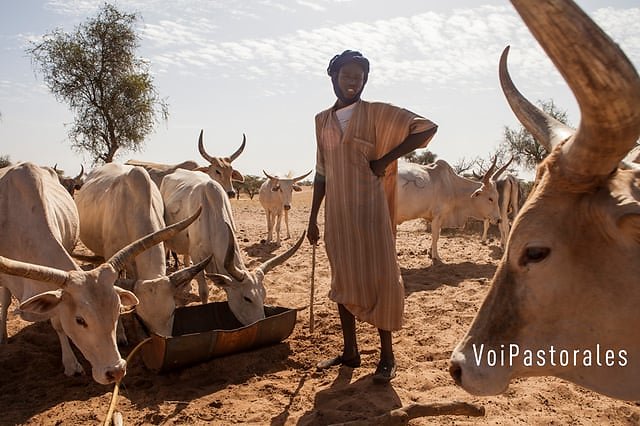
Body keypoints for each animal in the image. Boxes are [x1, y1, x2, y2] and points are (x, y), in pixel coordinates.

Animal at [0, 161, 200, 384]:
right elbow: (58, 322)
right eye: (80, 320)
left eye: (173, 311)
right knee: (6, 300)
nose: (116, 371)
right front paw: (73, 363)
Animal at [162, 168, 308, 322]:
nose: (261, 321)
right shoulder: (197, 257)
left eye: (263, 295)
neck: (211, 215)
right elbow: (204, 291)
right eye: (247, 298)